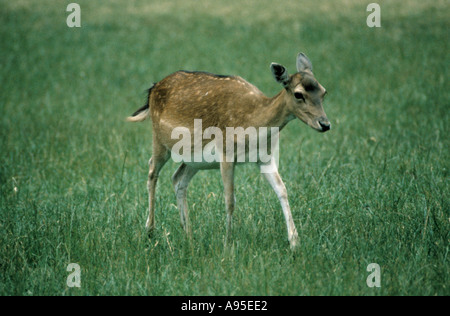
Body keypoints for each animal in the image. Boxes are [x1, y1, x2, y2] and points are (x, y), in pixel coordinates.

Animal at [126, 52, 330, 249]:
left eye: (324, 91)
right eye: (298, 94)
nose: (325, 124)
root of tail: (152, 88)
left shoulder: (265, 157)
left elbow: (282, 190)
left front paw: (295, 242)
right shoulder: (226, 154)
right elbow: (230, 201)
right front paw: (227, 245)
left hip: (195, 159)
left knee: (178, 178)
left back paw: (189, 237)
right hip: (160, 139)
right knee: (152, 170)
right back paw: (150, 231)